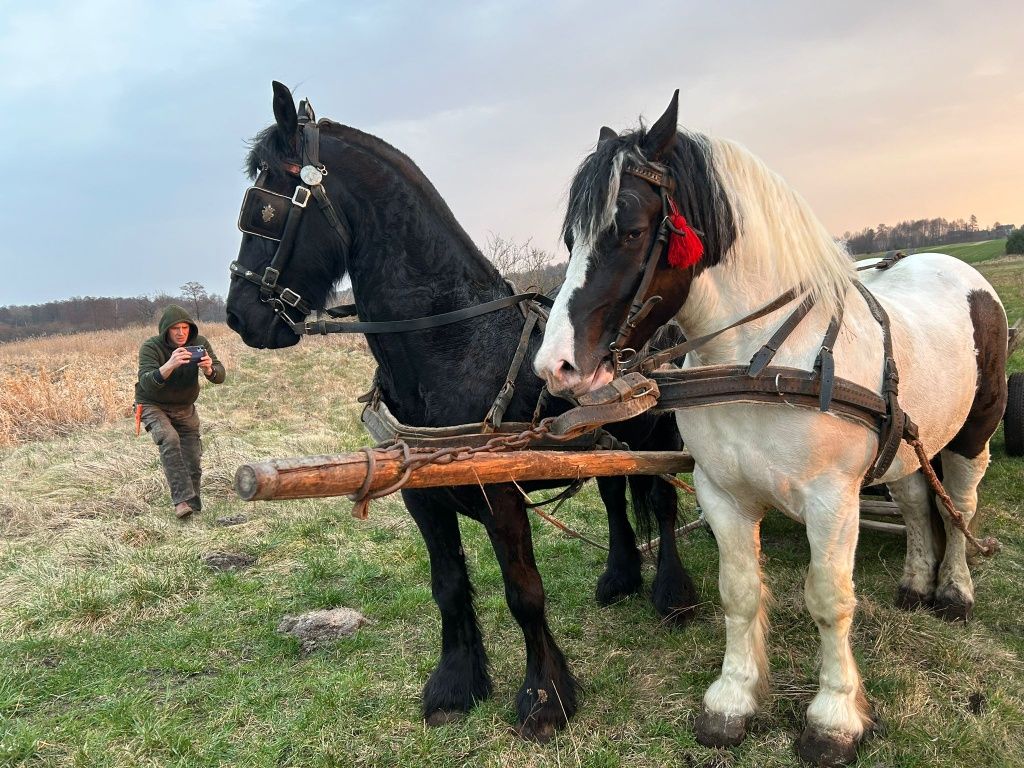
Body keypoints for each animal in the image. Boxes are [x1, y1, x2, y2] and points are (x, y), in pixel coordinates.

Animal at [227, 82, 700, 741]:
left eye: (266, 207)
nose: (241, 315)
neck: (453, 343)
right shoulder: (419, 494)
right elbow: (447, 587)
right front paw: (456, 684)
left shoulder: (501, 495)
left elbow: (524, 593)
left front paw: (545, 698)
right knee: (613, 494)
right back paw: (620, 576)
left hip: (657, 431)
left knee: (659, 501)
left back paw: (673, 595)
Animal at [536, 91, 1007, 765]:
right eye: (570, 237)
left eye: (628, 231)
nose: (555, 367)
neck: (763, 358)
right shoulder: (722, 494)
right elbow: (739, 591)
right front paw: (733, 699)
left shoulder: (832, 501)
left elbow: (829, 599)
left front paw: (835, 717)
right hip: (902, 444)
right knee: (918, 500)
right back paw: (917, 581)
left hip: (974, 431)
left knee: (958, 505)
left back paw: (953, 591)